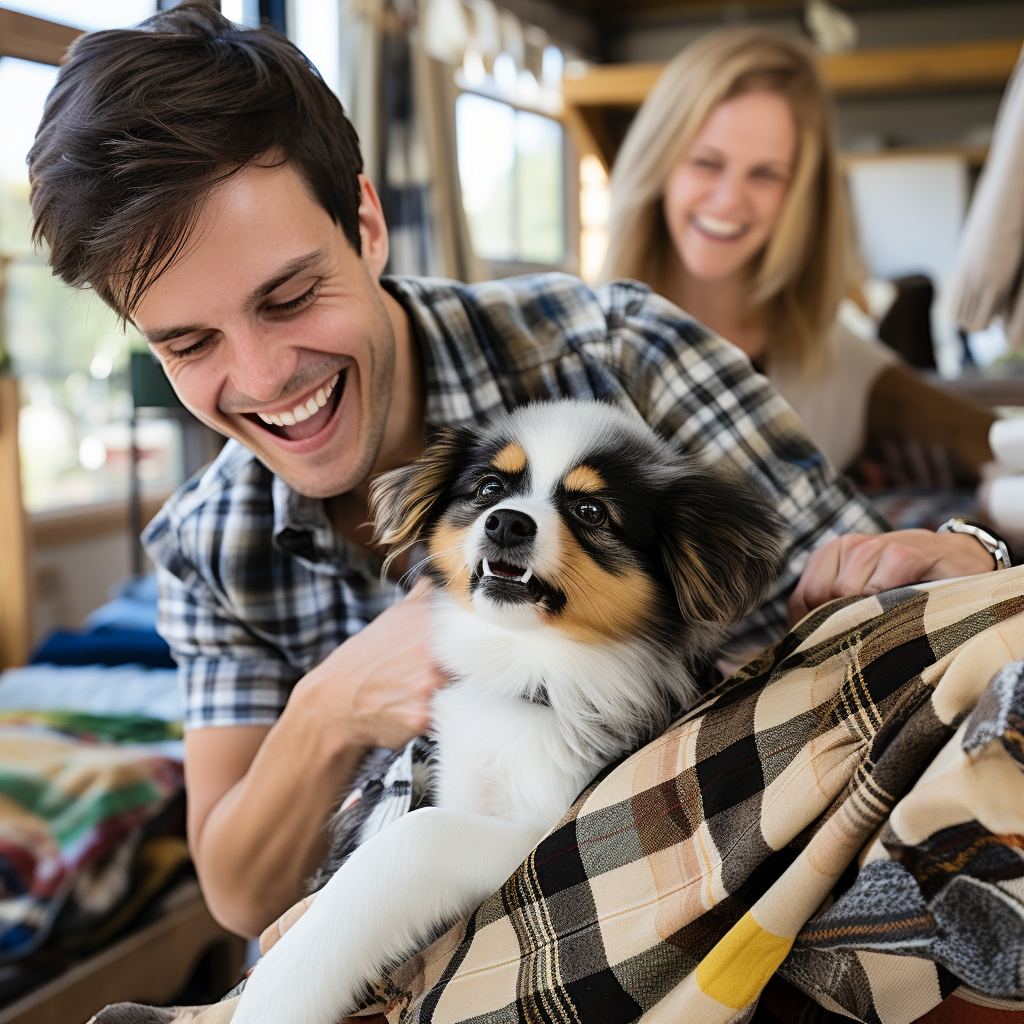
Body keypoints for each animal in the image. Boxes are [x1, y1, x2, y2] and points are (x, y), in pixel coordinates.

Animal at [96, 399, 782, 1024]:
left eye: (591, 511)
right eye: (489, 489)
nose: (507, 524)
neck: (527, 668)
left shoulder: (539, 823)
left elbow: (410, 840)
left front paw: (280, 991)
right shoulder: (451, 773)